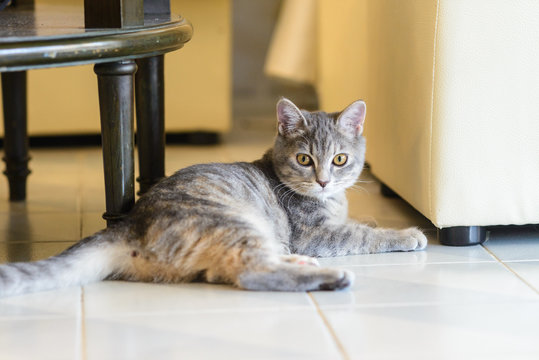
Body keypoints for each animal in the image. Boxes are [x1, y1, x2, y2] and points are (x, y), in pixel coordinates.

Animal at [1, 97, 430, 296]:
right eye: (304, 159)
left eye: (340, 159)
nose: (324, 182)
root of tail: (128, 227)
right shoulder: (317, 234)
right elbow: (362, 233)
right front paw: (407, 233)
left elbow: (360, 222)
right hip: (235, 223)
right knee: (251, 273)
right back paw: (330, 277)